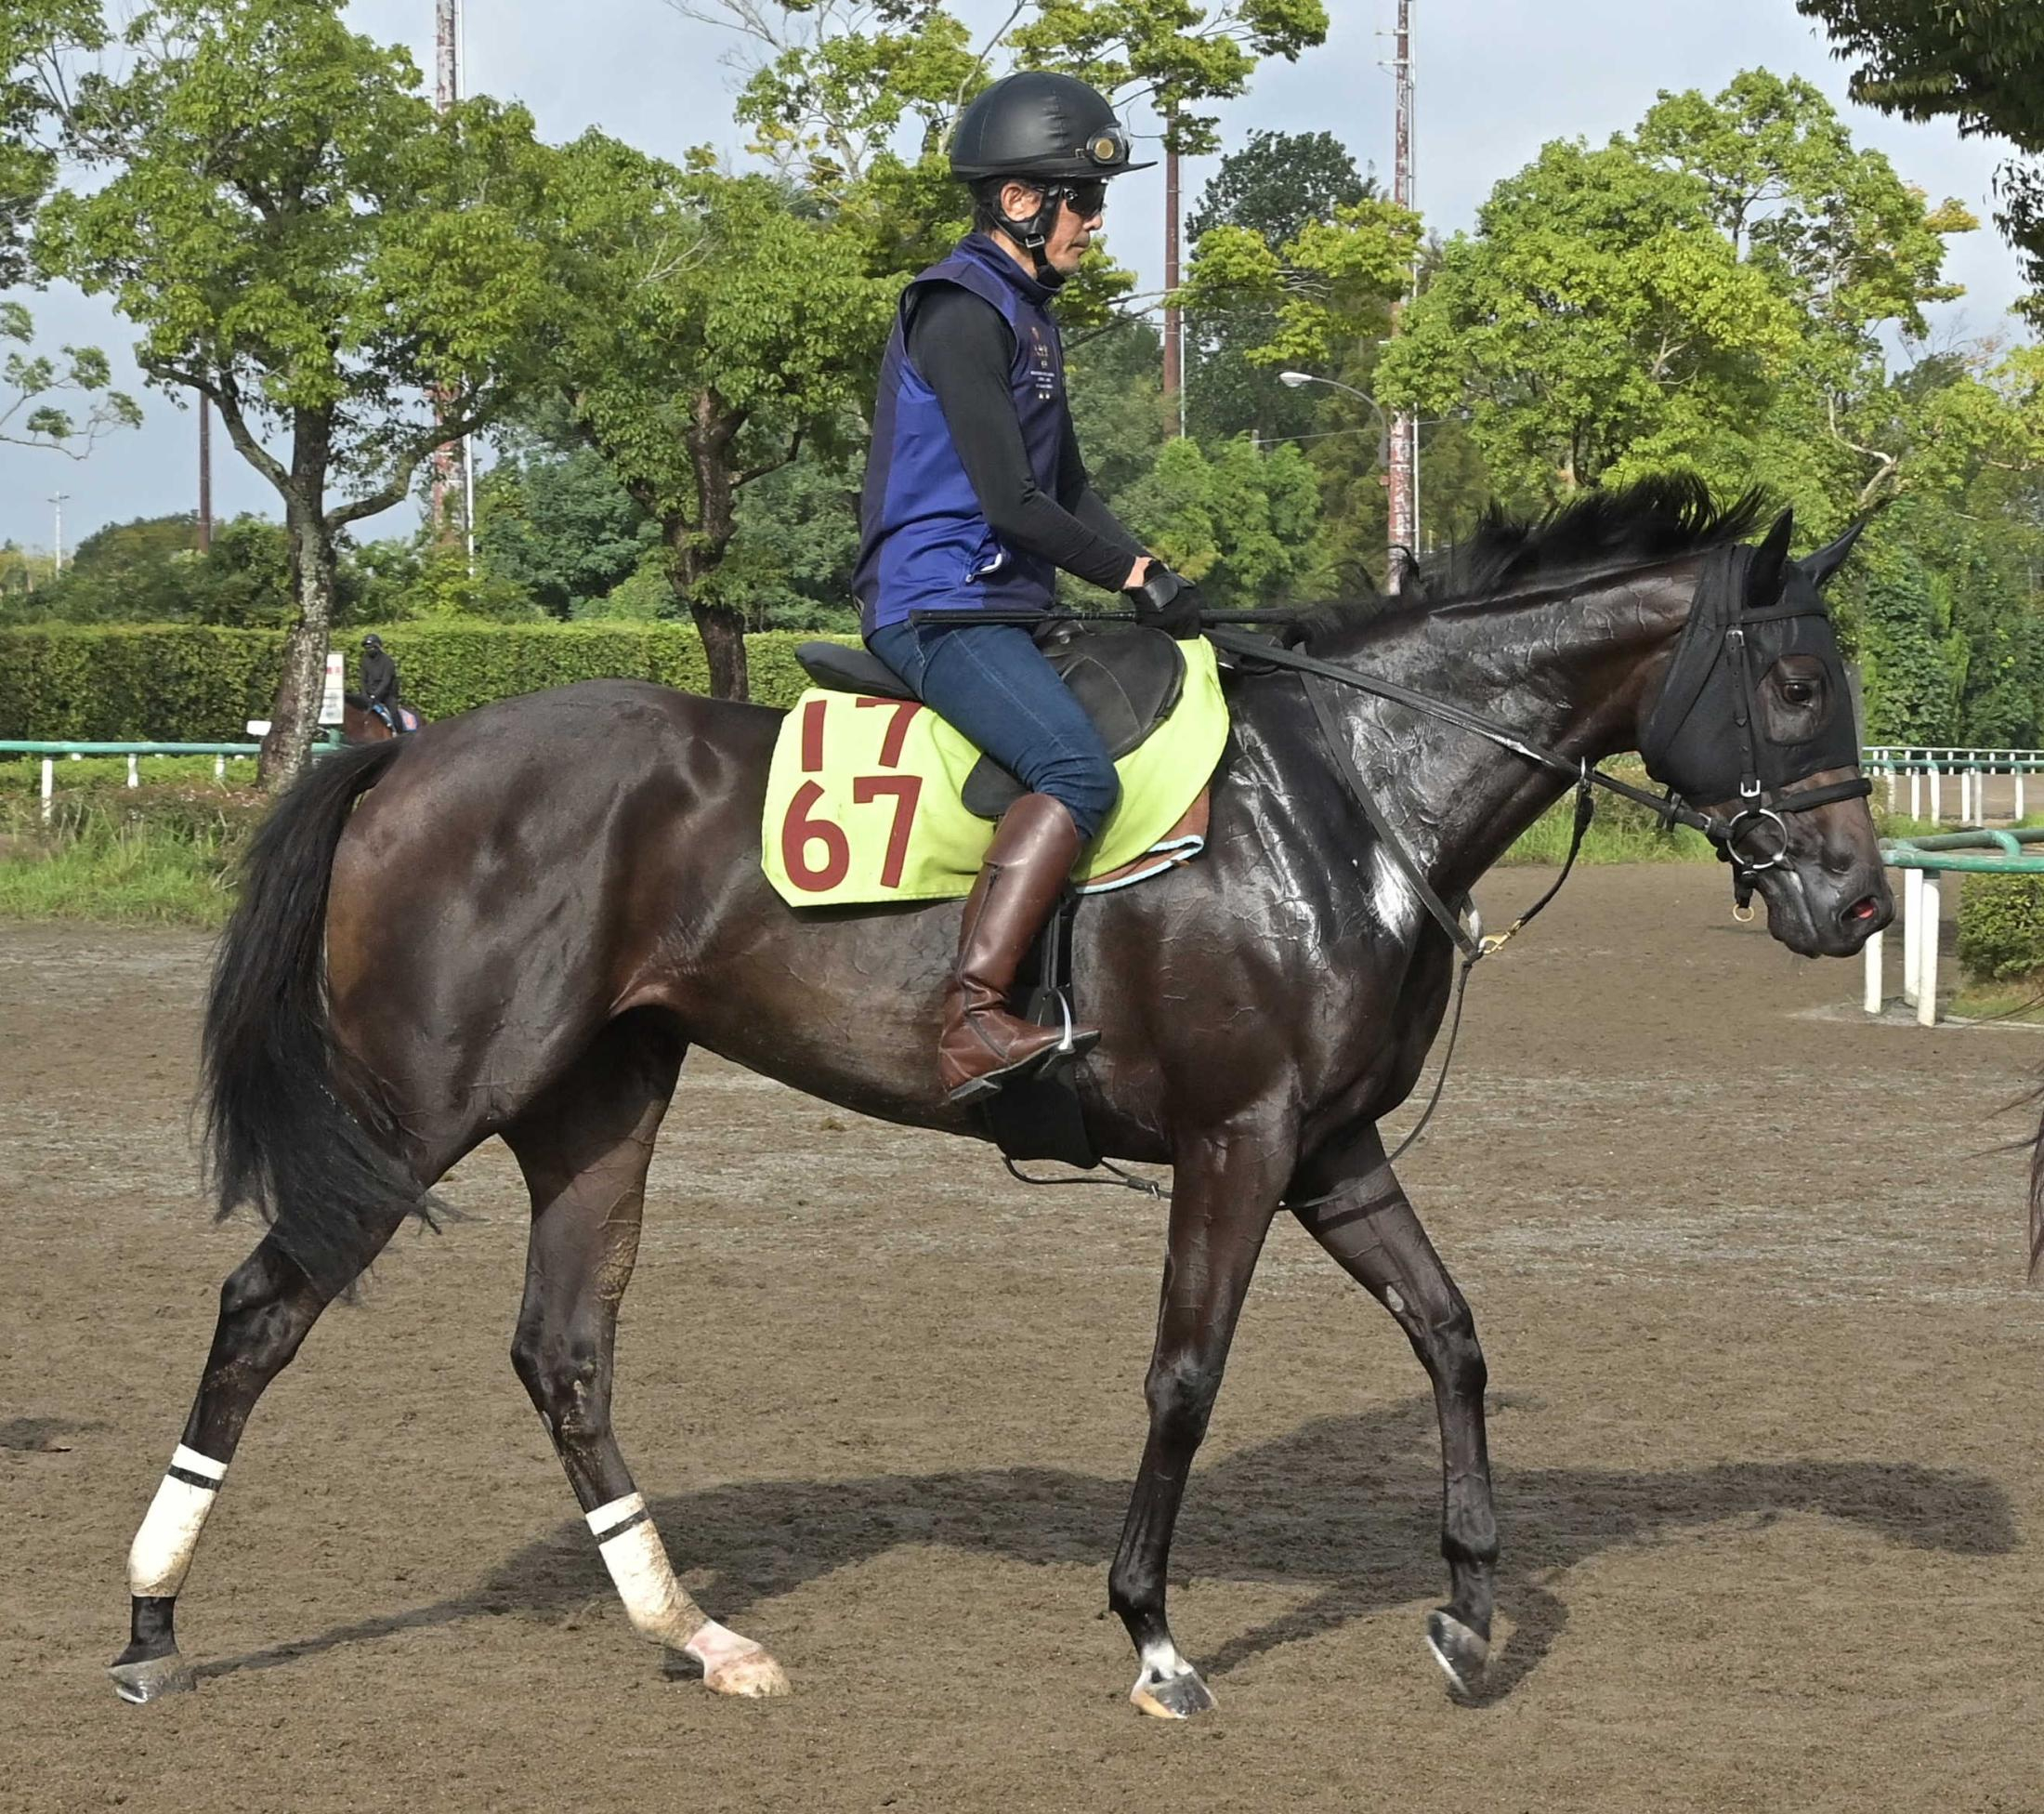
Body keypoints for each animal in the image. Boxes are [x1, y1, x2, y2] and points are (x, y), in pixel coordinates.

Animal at [111, 479, 1889, 1716]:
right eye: (1799, 685)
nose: (1859, 903)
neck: (1348, 788)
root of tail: (408, 755)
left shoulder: (1332, 1147)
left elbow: (1452, 1336)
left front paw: (1463, 1611)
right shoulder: (1240, 1143)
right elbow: (1185, 1378)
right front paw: (1154, 1636)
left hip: (598, 1106)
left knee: (564, 1352)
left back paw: (698, 1634)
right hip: (419, 1109)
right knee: (263, 1309)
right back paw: (148, 1622)